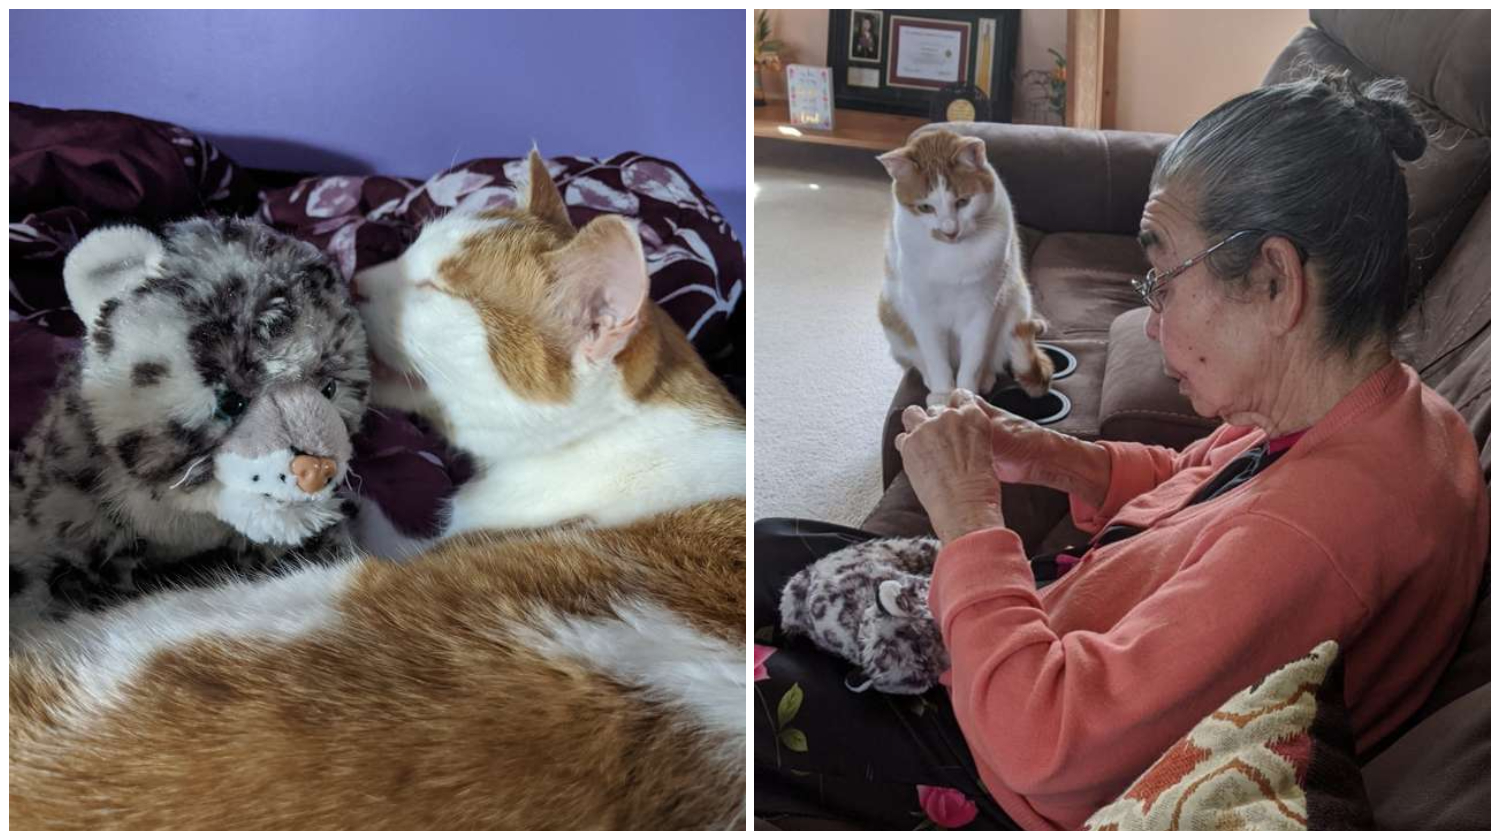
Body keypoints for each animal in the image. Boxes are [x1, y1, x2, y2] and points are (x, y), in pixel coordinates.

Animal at [876, 128, 1050, 408]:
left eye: (963, 202)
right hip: (889, 312)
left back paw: (986, 378)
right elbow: (936, 359)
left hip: (1018, 303)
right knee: (918, 360)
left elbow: (974, 360)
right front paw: (944, 396)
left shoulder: (983, 307)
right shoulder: (923, 310)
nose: (949, 231)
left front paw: (967, 397)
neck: (952, 255)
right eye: (925, 207)